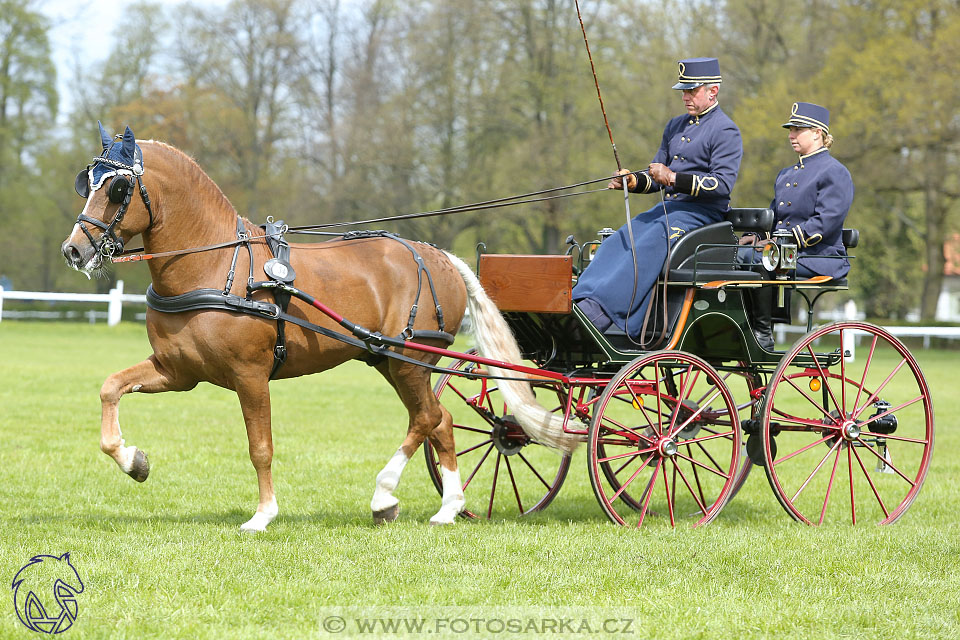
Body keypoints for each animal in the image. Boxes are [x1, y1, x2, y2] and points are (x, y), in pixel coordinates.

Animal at [62, 124, 576, 528]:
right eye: (87, 183)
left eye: (117, 188)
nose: (74, 250)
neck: (215, 265)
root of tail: (437, 256)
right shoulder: (178, 371)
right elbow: (111, 388)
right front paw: (133, 460)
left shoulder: (250, 376)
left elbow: (260, 446)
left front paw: (263, 515)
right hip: (386, 359)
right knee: (440, 420)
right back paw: (446, 506)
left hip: (409, 359)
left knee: (427, 418)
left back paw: (386, 495)